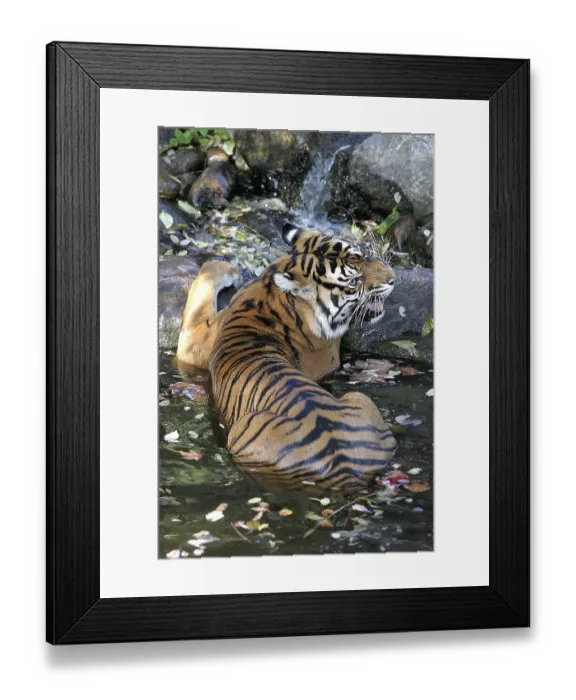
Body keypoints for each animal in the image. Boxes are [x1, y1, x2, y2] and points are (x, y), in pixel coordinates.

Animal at [176, 223, 398, 491]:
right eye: (354, 281)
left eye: (364, 255)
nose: (393, 278)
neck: (272, 292)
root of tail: (343, 467)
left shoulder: (194, 339)